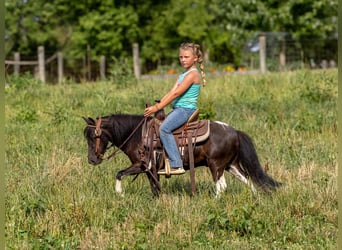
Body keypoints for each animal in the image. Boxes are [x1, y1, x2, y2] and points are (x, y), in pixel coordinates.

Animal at [82, 114, 280, 197]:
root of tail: (234, 131)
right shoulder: (151, 170)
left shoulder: (143, 165)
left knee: (221, 186)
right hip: (231, 165)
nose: (92, 159)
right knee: (249, 181)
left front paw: (119, 194)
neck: (137, 134)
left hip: (216, 166)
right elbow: (155, 188)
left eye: (93, 136)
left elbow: (119, 174)